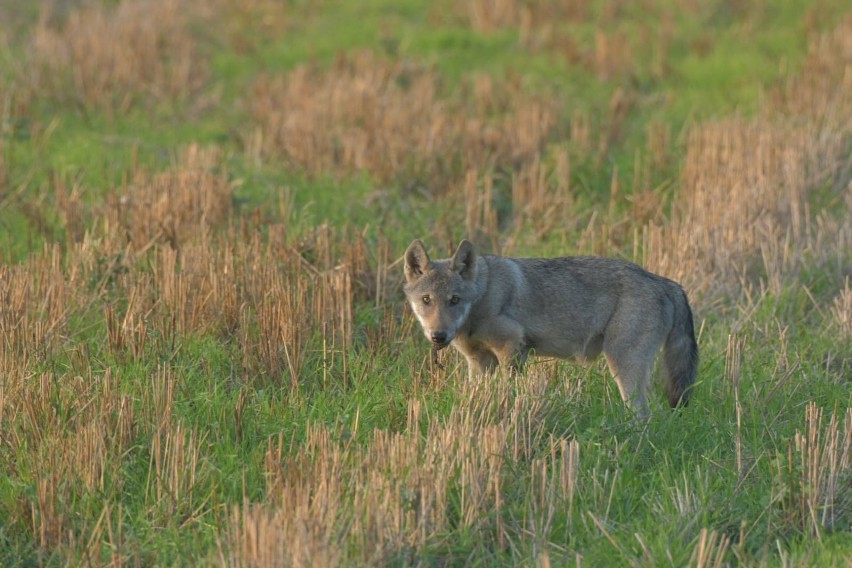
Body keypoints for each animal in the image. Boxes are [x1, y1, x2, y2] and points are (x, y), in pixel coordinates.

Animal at [402, 240, 696, 418]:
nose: (438, 336)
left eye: (454, 300)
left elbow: (509, 390)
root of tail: (667, 283)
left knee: (644, 415)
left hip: (624, 368)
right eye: (427, 300)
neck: (483, 296)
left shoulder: (512, 347)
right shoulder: (478, 361)